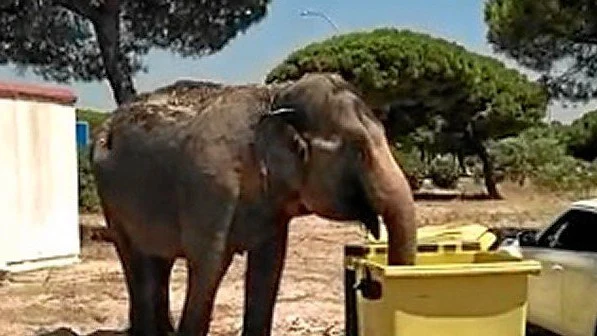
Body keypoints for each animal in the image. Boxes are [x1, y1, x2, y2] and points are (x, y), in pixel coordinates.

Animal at [89, 72, 414, 334]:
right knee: (135, 259)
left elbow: (269, 266)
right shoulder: (210, 184)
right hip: (111, 200)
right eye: (359, 149)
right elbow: (210, 262)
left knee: (158, 260)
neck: (275, 96)